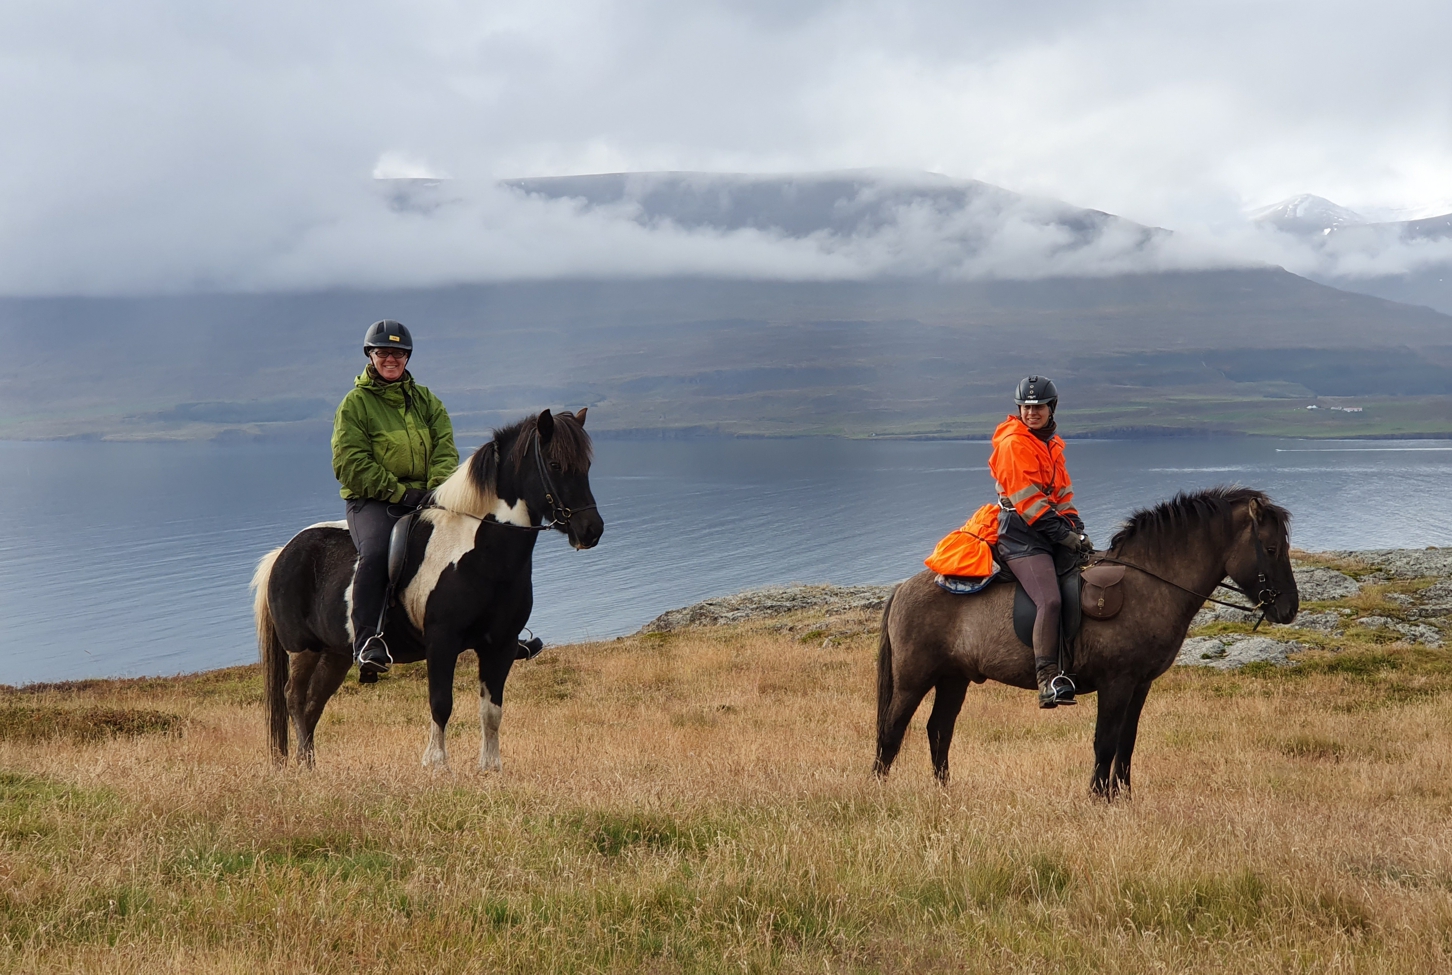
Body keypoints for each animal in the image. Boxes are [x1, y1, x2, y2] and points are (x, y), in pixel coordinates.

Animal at [249, 409, 601, 773]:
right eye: (556, 464)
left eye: (586, 465)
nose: (591, 530)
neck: (480, 551)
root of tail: (282, 554)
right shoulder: (441, 642)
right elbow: (441, 703)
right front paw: (436, 764)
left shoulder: (501, 645)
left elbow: (492, 710)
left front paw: (490, 767)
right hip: (303, 649)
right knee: (295, 698)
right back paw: (304, 765)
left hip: (335, 654)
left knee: (313, 703)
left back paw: (310, 765)